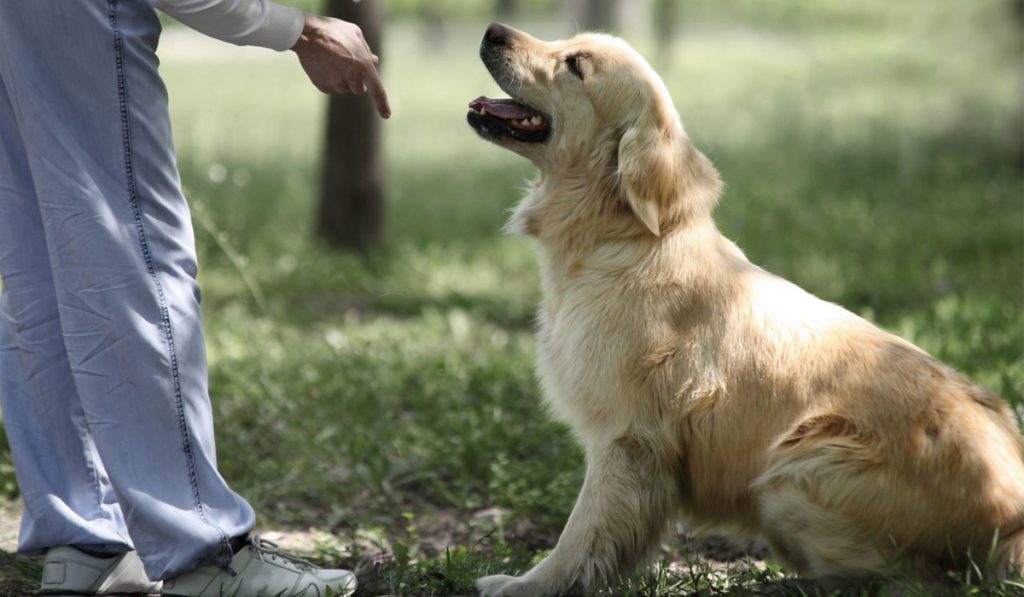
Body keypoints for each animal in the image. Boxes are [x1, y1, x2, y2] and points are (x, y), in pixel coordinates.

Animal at [468, 20, 1024, 593]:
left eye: (576, 65)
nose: (492, 29)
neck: (622, 238)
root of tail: (1013, 522)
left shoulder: (627, 440)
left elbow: (582, 535)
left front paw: (524, 584)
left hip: (795, 469)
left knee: (911, 579)